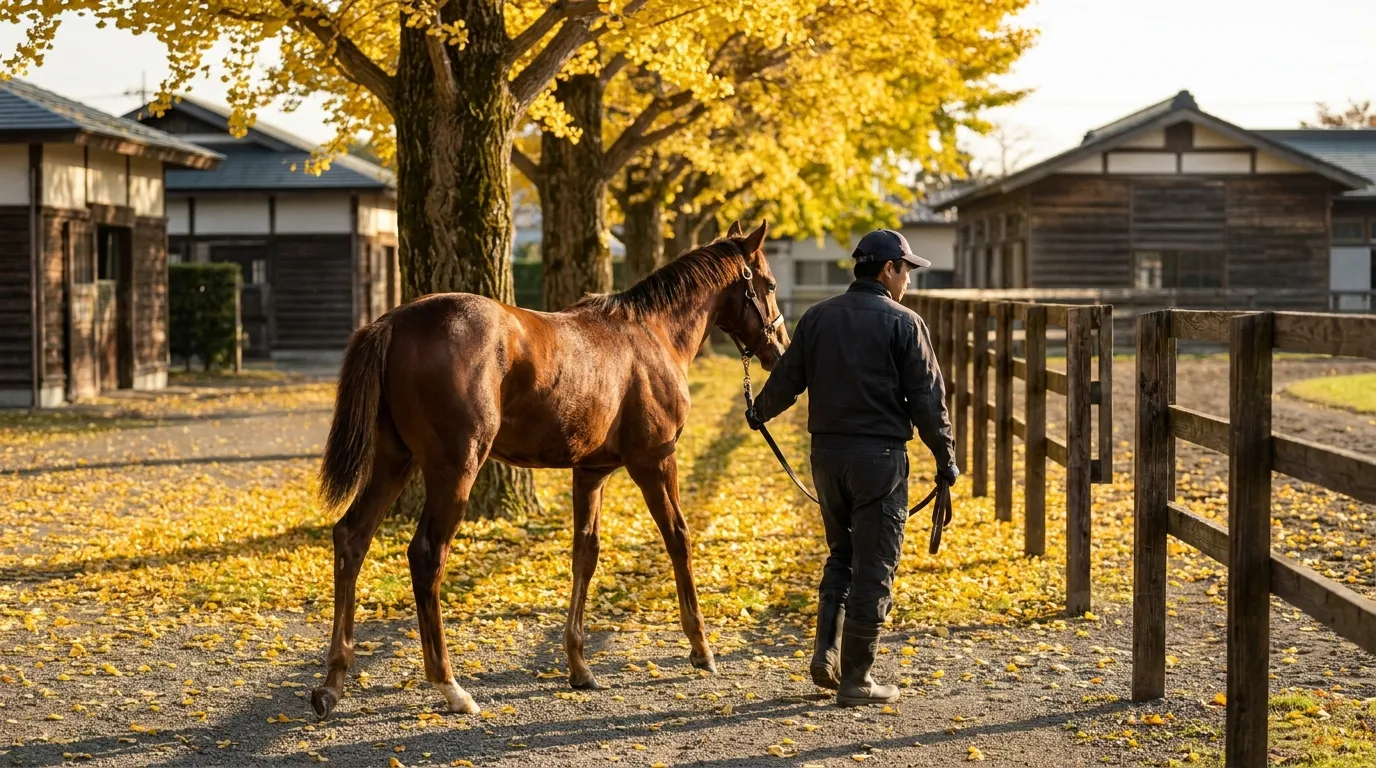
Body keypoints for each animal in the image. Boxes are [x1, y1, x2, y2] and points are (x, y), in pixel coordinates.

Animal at [310, 221, 789, 718]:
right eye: (770, 285)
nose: (780, 348)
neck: (650, 335)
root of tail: (393, 322)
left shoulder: (591, 472)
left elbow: (585, 554)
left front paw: (579, 666)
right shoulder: (655, 461)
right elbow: (678, 539)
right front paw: (701, 648)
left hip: (394, 460)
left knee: (352, 538)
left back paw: (333, 682)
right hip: (454, 469)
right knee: (426, 556)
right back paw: (450, 686)